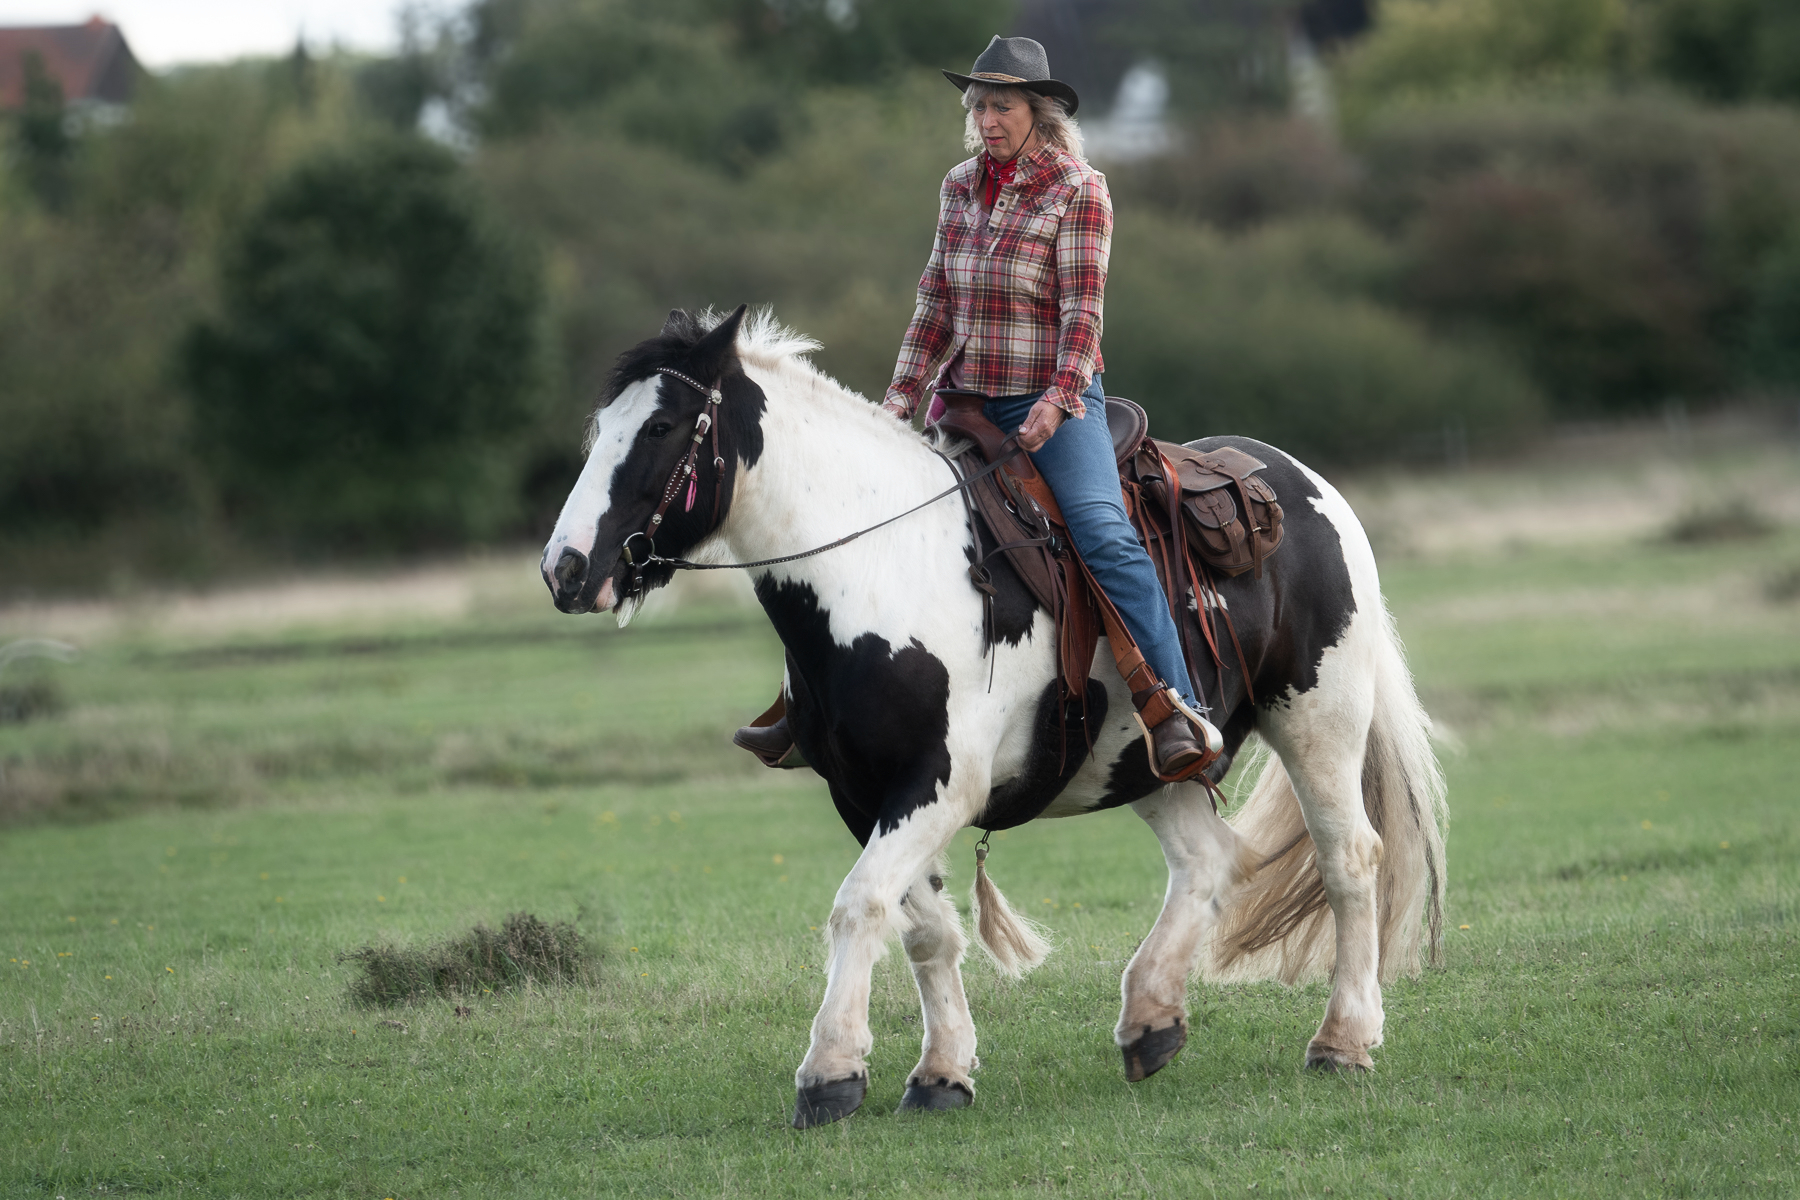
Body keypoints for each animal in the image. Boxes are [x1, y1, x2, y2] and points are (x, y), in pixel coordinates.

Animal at [541, 306, 1447, 1129]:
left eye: (661, 426)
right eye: (602, 426)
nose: (566, 569)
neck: (878, 572)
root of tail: (1303, 482)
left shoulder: (939, 784)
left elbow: (859, 904)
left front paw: (829, 1073)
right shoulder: (863, 793)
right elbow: (924, 929)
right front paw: (941, 1072)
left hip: (1319, 720)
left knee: (1350, 860)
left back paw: (1343, 1041)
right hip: (1150, 761)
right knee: (1207, 861)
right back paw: (1150, 1020)